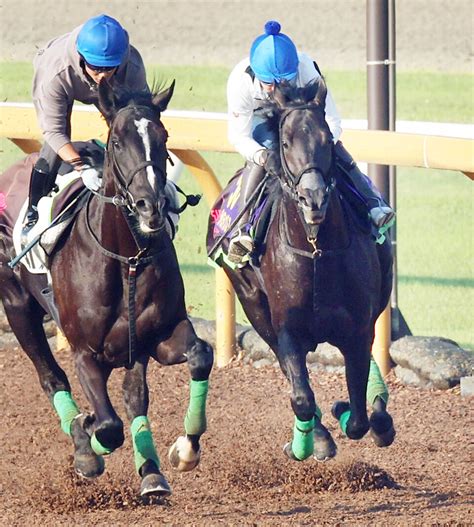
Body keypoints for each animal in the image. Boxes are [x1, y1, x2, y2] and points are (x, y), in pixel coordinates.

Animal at [0, 81, 213, 500]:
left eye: (164, 137)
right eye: (117, 142)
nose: (150, 206)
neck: (125, 258)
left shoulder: (158, 336)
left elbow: (200, 355)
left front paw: (184, 450)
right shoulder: (86, 352)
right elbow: (108, 426)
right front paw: (88, 437)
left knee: (134, 397)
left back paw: (151, 472)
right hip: (17, 305)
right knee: (51, 377)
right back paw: (85, 445)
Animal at [209, 78, 394, 462]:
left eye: (326, 138)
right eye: (284, 142)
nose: (313, 198)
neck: (315, 252)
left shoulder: (357, 330)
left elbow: (358, 414)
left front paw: (353, 411)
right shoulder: (287, 330)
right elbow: (302, 397)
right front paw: (312, 440)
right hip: (254, 306)